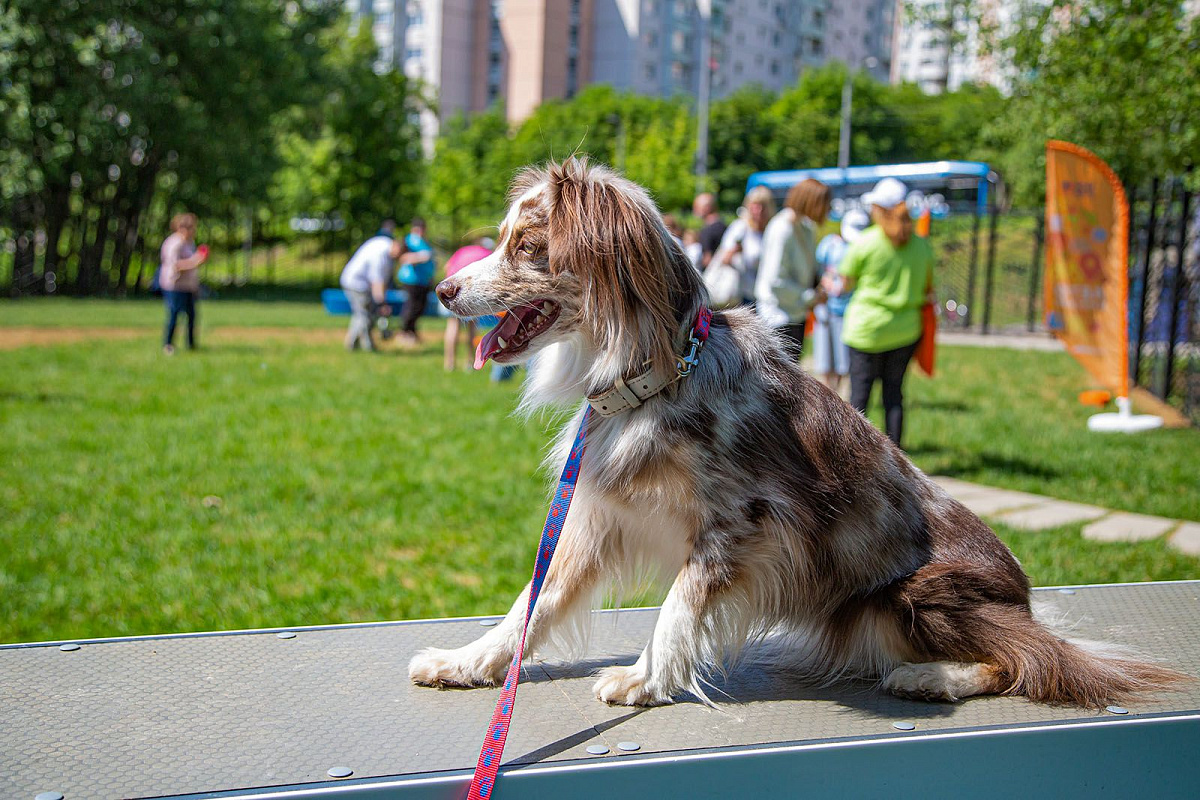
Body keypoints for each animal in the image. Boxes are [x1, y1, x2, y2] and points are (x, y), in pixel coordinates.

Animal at [412, 155, 1180, 705]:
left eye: (526, 245)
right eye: (502, 240)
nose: (443, 290)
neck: (655, 379)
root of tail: (1023, 603)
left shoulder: (741, 521)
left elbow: (678, 605)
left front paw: (646, 679)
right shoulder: (595, 520)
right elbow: (530, 607)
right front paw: (467, 662)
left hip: (916, 595)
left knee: (1026, 664)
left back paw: (933, 678)